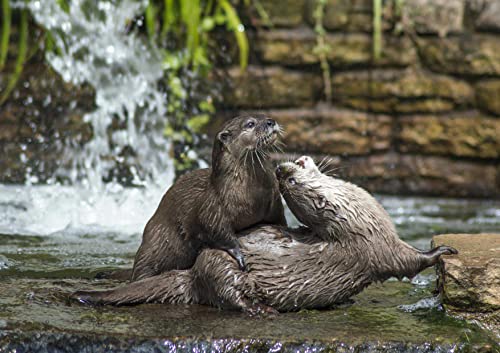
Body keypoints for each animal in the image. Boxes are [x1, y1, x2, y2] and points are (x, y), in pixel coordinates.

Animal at [74, 155, 458, 312]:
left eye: (289, 183)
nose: (279, 170)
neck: (359, 220)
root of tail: (193, 271)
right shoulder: (379, 247)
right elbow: (407, 262)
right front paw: (441, 252)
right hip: (223, 267)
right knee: (227, 295)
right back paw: (259, 309)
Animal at [128, 114, 286, 280]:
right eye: (250, 124)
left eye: (264, 116)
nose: (271, 122)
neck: (253, 193)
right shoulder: (212, 208)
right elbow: (217, 231)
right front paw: (239, 255)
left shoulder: (275, 204)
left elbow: (280, 221)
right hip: (156, 242)